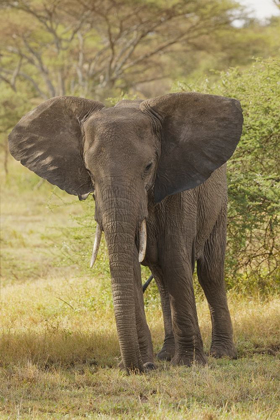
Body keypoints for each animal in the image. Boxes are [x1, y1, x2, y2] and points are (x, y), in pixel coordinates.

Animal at [8, 91, 243, 370]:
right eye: (89, 172)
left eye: (149, 167)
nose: (143, 367)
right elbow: (130, 266)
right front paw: (145, 363)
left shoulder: (178, 190)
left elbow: (176, 260)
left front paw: (190, 363)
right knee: (162, 280)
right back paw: (166, 355)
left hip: (219, 204)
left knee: (210, 272)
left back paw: (222, 354)